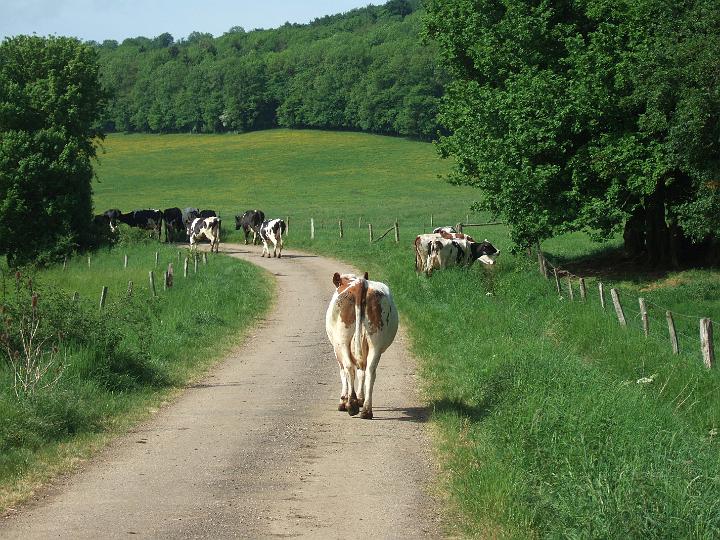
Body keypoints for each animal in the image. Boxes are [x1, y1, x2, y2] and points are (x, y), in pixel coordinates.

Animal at [326, 272, 400, 420]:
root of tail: (360, 283)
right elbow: (362, 373)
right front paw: (360, 399)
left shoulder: (336, 349)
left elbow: (343, 372)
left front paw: (344, 401)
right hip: (375, 343)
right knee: (370, 371)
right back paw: (366, 410)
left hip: (342, 341)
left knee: (349, 367)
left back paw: (352, 404)